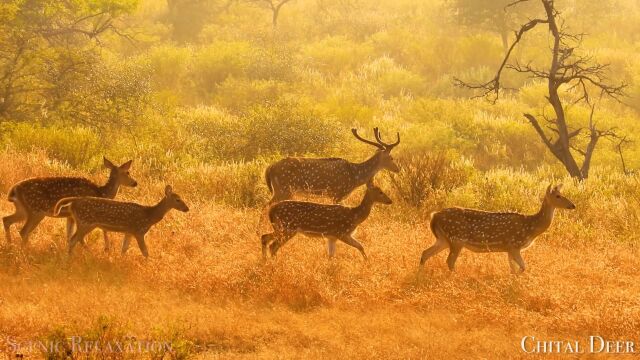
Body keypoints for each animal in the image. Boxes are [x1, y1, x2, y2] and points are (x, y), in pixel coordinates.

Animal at [3, 158, 138, 248]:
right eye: (127, 173)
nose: (135, 183)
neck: (100, 192)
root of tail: (14, 190)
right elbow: (78, 238)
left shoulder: (70, 216)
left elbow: (68, 236)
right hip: (36, 211)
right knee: (23, 231)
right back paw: (24, 250)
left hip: (22, 210)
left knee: (6, 220)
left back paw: (10, 246)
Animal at [54, 184, 190, 258]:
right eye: (177, 199)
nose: (187, 208)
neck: (149, 215)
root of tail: (74, 201)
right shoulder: (139, 231)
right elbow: (145, 251)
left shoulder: (129, 231)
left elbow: (124, 249)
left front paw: (120, 261)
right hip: (85, 222)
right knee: (73, 239)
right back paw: (69, 258)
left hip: (83, 222)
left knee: (74, 239)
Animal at [262, 128, 398, 204]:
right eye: (391, 157)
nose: (397, 169)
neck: (355, 177)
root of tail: (269, 168)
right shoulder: (337, 193)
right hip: (284, 190)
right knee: (266, 205)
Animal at [262, 186, 392, 258]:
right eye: (380, 192)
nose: (390, 201)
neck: (355, 216)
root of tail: (271, 211)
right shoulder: (342, 233)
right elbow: (361, 246)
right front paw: (367, 263)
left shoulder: (332, 237)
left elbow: (331, 256)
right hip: (288, 228)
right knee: (273, 245)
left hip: (280, 228)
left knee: (265, 237)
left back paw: (264, 262)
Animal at [420, 186, 576, 272]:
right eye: (558, 196)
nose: (572, 205)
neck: (531, 228)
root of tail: (434, 216)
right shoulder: (514, 245)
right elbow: (522, 268)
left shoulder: (509, 249)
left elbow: (514, 269)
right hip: (456, 239)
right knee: (449, 261)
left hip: (443, 239)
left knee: (425, 253)